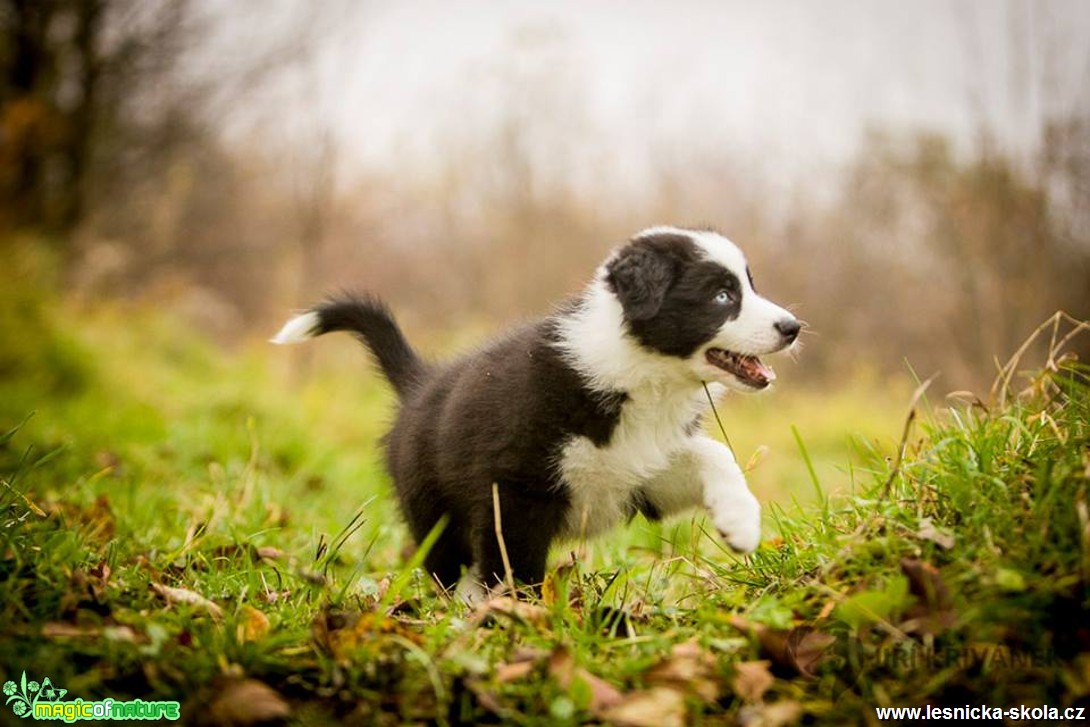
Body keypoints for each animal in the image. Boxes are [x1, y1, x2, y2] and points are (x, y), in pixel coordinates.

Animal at [272, 224, 802, 601]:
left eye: (749, 286)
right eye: (722, 296)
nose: (793, 326)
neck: (640, 374)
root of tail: (421, 383)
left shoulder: (643, 470)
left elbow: (713, 455)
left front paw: (740, 521)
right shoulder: (513, 488)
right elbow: (515, 566)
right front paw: (521, 624)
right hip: (433, 511)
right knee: (450, 568)